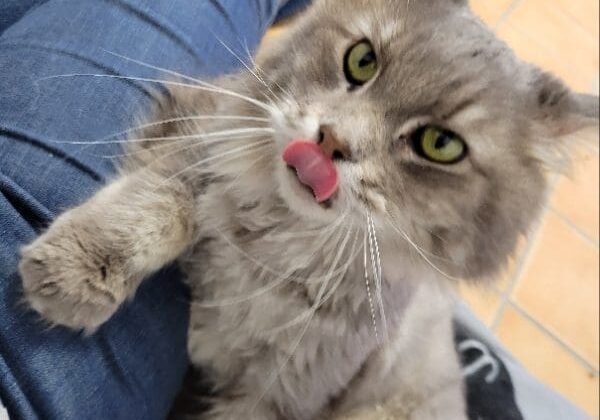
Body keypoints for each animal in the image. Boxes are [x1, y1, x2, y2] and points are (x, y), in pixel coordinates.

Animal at [16, 0, 596, 420]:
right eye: (362, 60)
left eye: (440, 144)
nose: (330, 141)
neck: (280, 244)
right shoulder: (206, 122)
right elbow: (164, 200)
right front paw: (79, 267)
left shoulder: (277, 399)